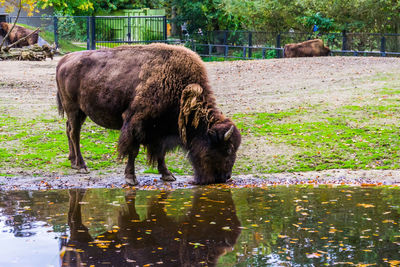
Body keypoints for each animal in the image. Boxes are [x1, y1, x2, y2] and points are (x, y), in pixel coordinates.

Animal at [55, 44, 241, 186]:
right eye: (227, 149)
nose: (225, 177)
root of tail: (64, 59)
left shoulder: (159, 132)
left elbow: (160, 153)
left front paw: (168, 175)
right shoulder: (136, 124)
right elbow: (133, 150)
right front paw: (131, 178)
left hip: (81, 112)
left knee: (69, 130)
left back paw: (73, 162)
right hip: (73, 109)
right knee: (74, 133)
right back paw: (82, 166)